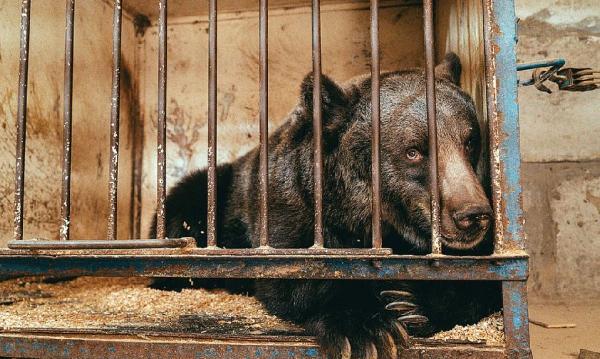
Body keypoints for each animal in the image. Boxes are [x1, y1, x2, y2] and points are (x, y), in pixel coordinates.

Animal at [152, 53, 500, 359]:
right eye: (414, 150)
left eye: (470, 140)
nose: (472, 214)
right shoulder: (290, 206)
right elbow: (293, 275)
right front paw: (367, 330)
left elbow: (480, 276)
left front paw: (410, 301)